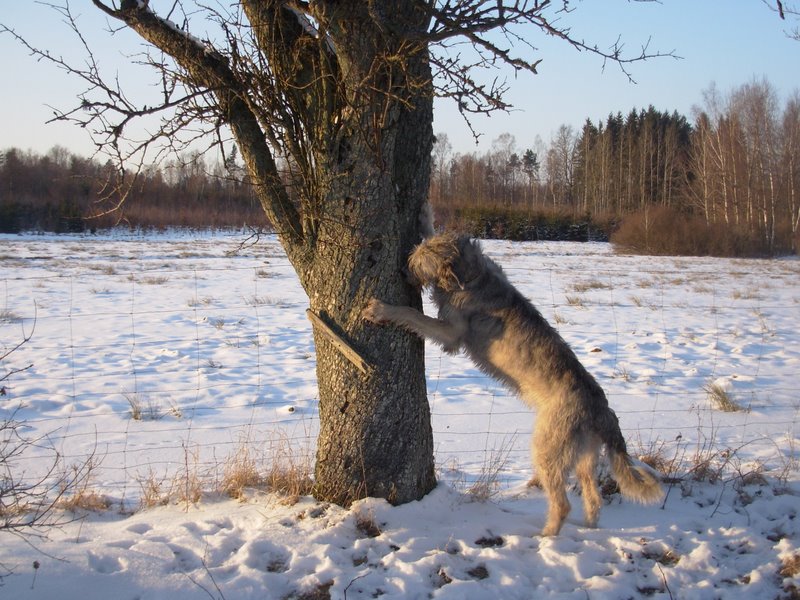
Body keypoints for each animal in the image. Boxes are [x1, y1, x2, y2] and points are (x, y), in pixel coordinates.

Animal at [363, 232, 663, 536]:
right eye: (418, 250)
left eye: (420, 260)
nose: (402, 269)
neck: (473, 275)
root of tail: (602, 408)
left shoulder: (451, 332)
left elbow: (413, 315)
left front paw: (382, 309)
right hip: (584, 456)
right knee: (593, 498)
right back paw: (588, 531)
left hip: (547, 448)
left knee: (562, 503)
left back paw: (545, 537)